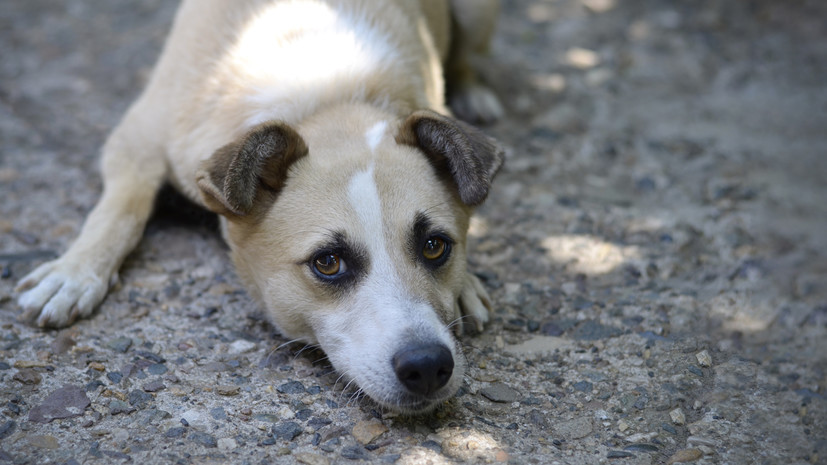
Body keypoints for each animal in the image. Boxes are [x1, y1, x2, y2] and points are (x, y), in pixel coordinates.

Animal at [14, 0, 504, 414]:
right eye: (328, 262)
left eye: (435, 246)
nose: (428, 366)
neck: (328, 99)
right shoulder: (137, 136)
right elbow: (120, 209)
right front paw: (75, 272)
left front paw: (465, 285)